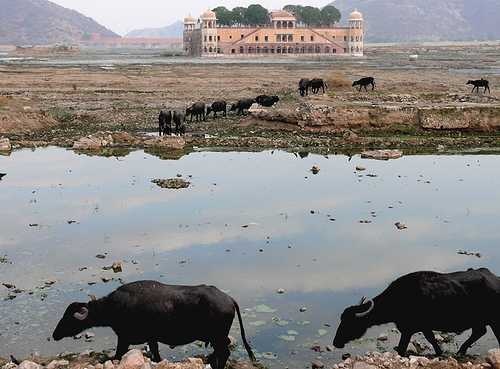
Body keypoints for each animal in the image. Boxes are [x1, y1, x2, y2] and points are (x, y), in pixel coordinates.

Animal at [52, 280, 256, 366]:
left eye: (68, 317)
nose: (54, 334)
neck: (116, 306)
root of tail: (228, 298)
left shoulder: (124, 338)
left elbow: (118, 354)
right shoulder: (151, 339)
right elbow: (156, 354)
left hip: (218, 336)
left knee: (224, 352)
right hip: (217, 337)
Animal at [332, 268, 500, 356]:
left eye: (350, 322)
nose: (335, 342)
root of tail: (495, 278)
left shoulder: (409, 329)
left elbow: (403, 348)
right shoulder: (420, 328)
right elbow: (432, 340)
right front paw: (439, 352)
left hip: (494, 320)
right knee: (479, 332)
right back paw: (461, 351)